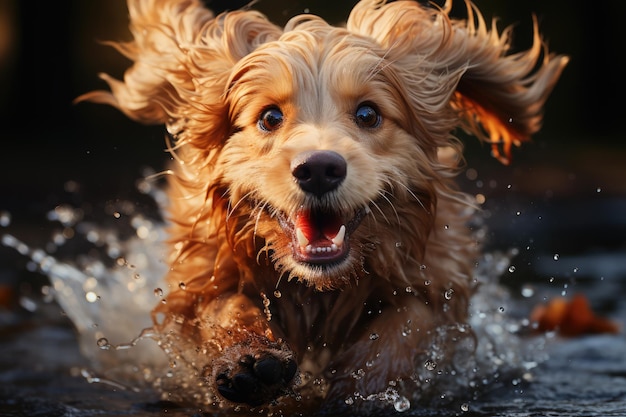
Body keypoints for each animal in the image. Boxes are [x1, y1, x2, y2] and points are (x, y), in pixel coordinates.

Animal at [78, 0, 564, 412]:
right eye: (269, 117)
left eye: (368, 114)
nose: (319, 169)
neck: (319, 288)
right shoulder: (202, 269)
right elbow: (222, 306)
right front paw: (247, 357)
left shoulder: (436, 276)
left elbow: (406, 326)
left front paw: (365, 383)